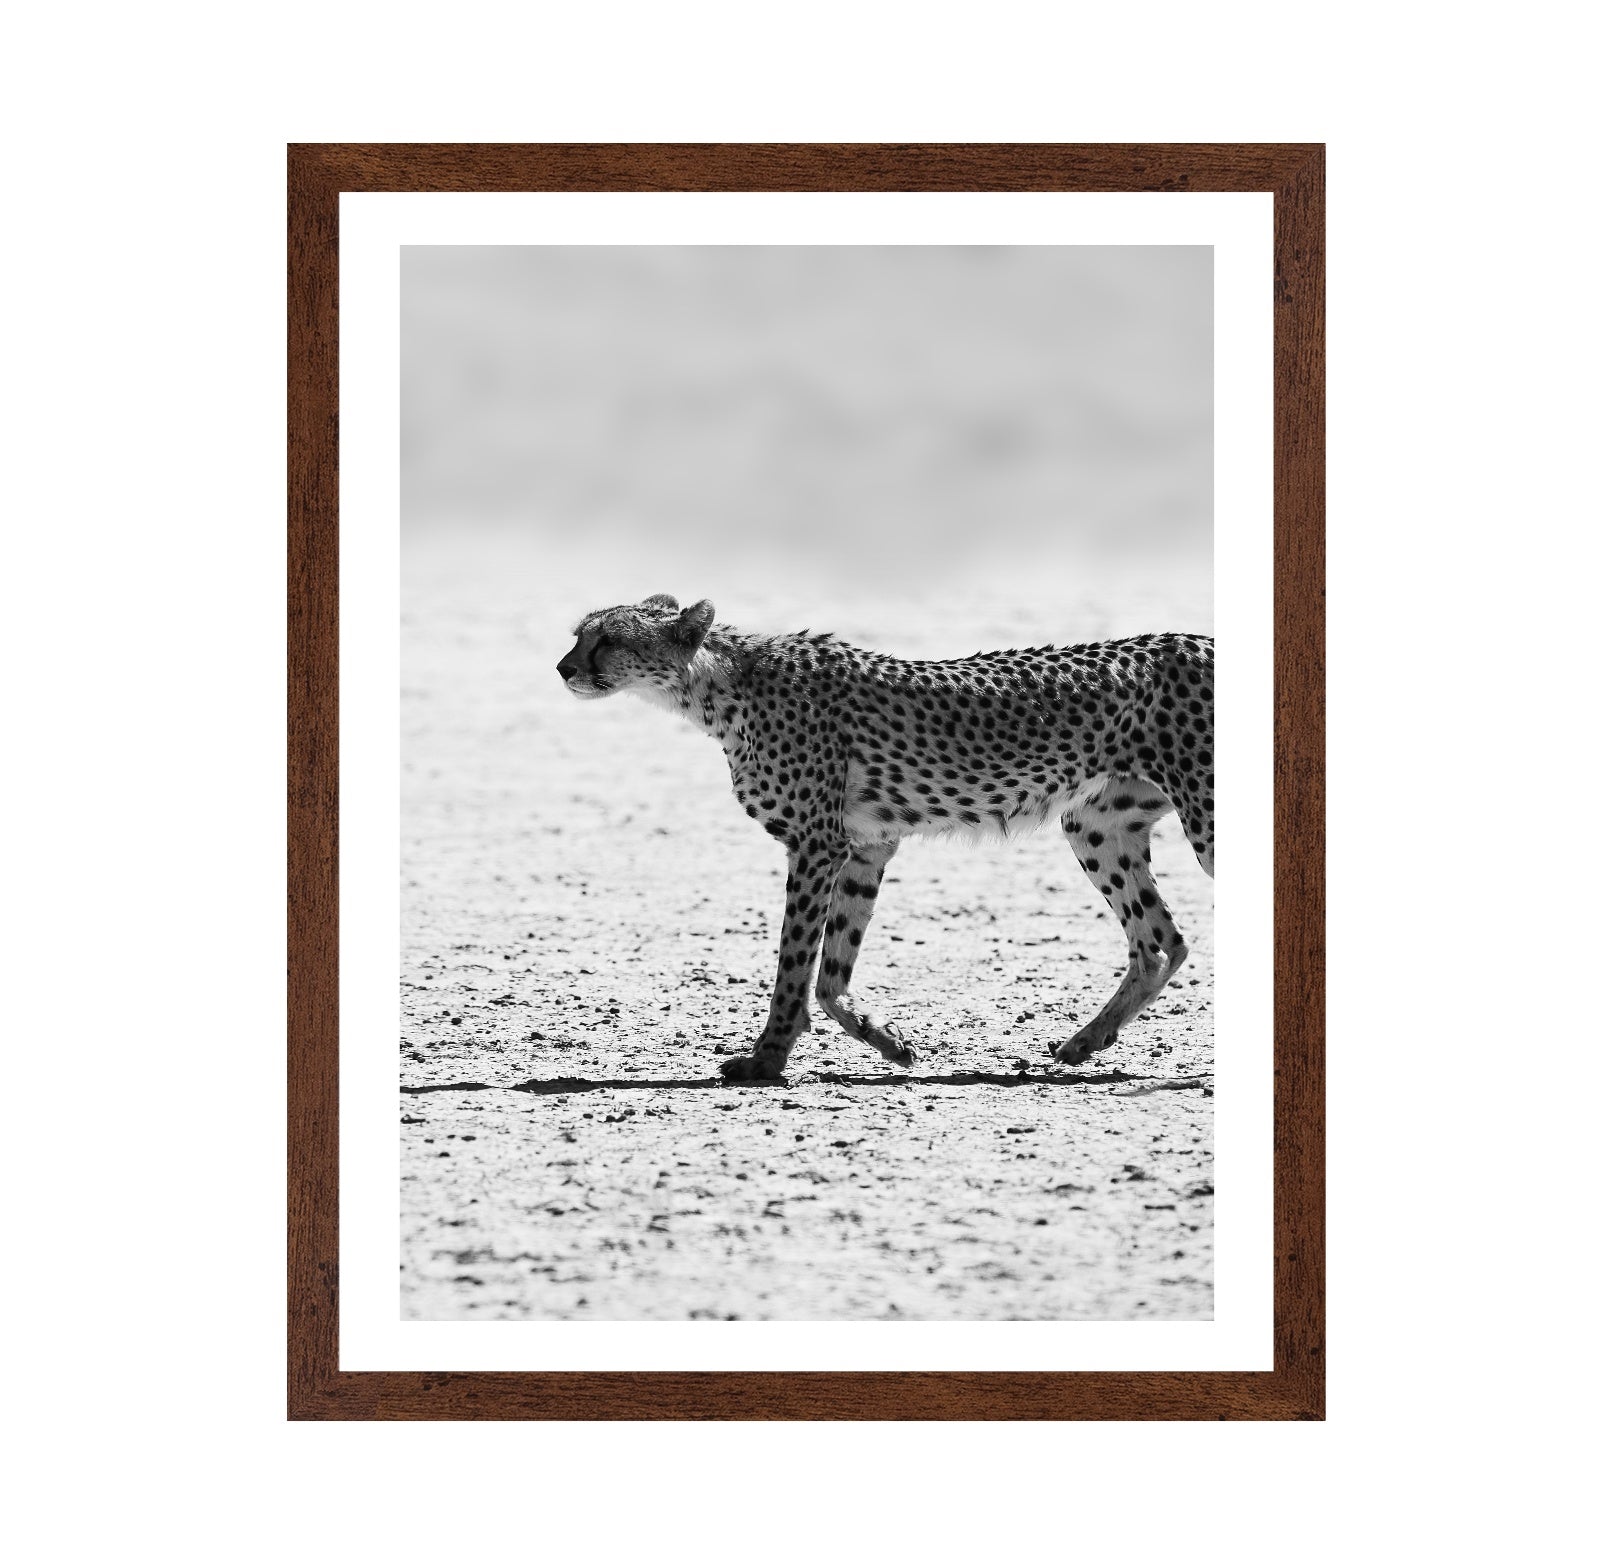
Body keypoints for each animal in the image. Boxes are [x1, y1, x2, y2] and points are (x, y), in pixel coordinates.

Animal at [556, 594, 1214, 1084]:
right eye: (578, 635)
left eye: (607, 639)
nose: (564, 668)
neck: (719, 686)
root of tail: (1199, 638)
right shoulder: (864, 845)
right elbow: (831, 971)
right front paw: (889, 1042)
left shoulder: (817, 843)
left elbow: (794, 962)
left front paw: (767, 1058)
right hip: (1096, 825)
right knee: (1161, 942)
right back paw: (1086, 1041)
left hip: (1203, 818)